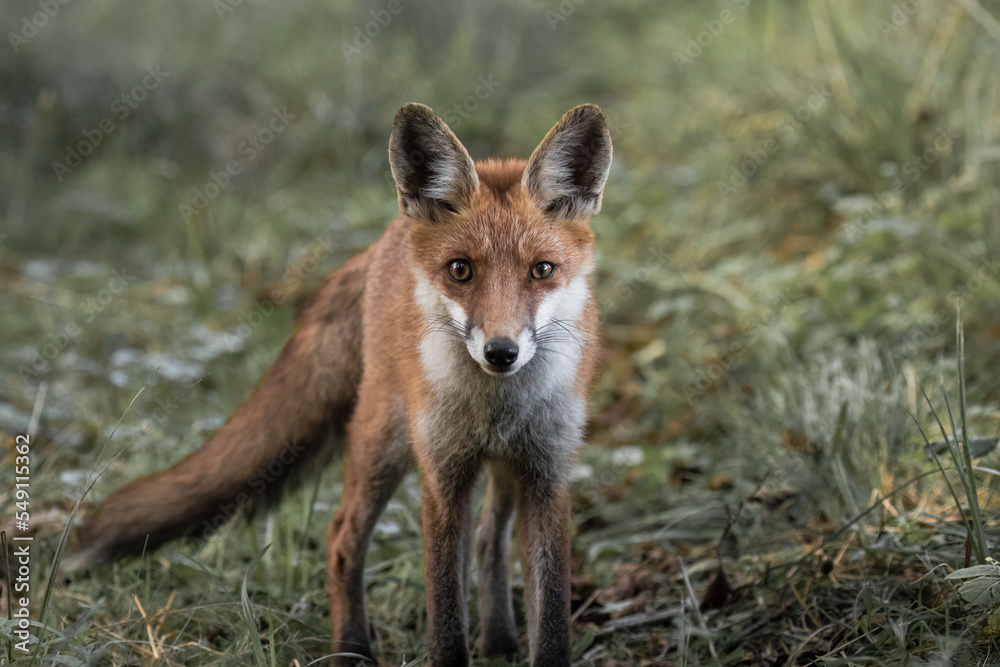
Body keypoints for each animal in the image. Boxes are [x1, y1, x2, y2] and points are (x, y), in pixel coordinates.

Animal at [74, 102, 613, 666]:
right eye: (460, 270)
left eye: (542, 270)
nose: (501, 352)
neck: (496, 406)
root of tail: (384, 240)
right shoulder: (442, 478)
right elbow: (445, 616)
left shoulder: (547, 477)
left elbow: (549, 617)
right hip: (385, 443)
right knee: (340, 538)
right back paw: (353, 649)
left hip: (503, 468)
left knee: (490, 540)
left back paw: (500, 641)